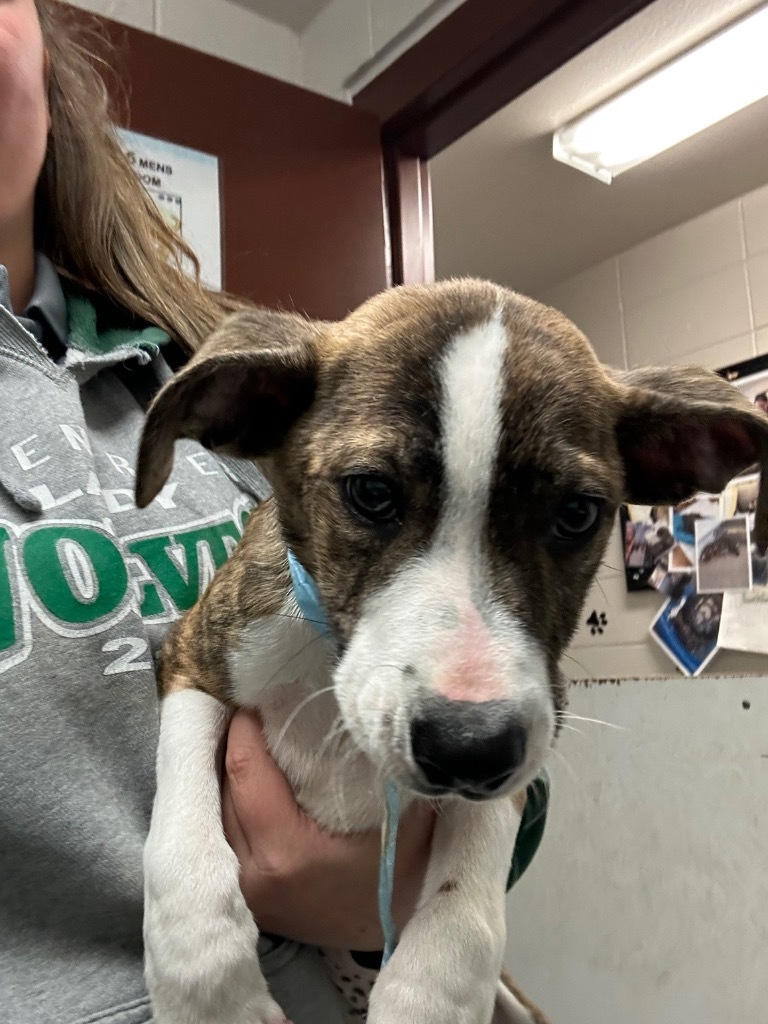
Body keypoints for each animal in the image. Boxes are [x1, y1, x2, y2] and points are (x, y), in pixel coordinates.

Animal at [135, 278, 768, 1024]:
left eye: (578, 514)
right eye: (371, 492)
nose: (469, 749)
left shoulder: (533, 733)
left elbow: (462, 923)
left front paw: (431, 993)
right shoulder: (195, 657)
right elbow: (181, 839)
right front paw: (206, 988)